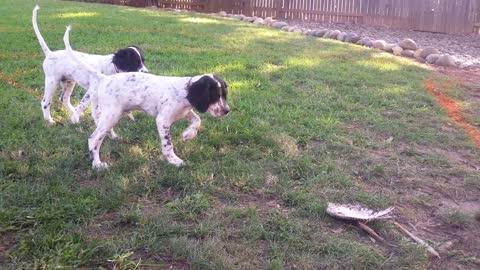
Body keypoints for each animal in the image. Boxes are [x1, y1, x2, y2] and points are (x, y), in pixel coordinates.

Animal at [63, 25, 229, 169]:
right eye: (215, 96)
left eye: (224, 95)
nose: (227, 111)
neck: (183, 91)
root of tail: (105, 78)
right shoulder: (163, 120)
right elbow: (168, 144)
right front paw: (174, 160)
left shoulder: (184, 112)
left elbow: (197, 120)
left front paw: (188, 134)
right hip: (111, 115)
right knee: (94, 139)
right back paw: (97, 164)